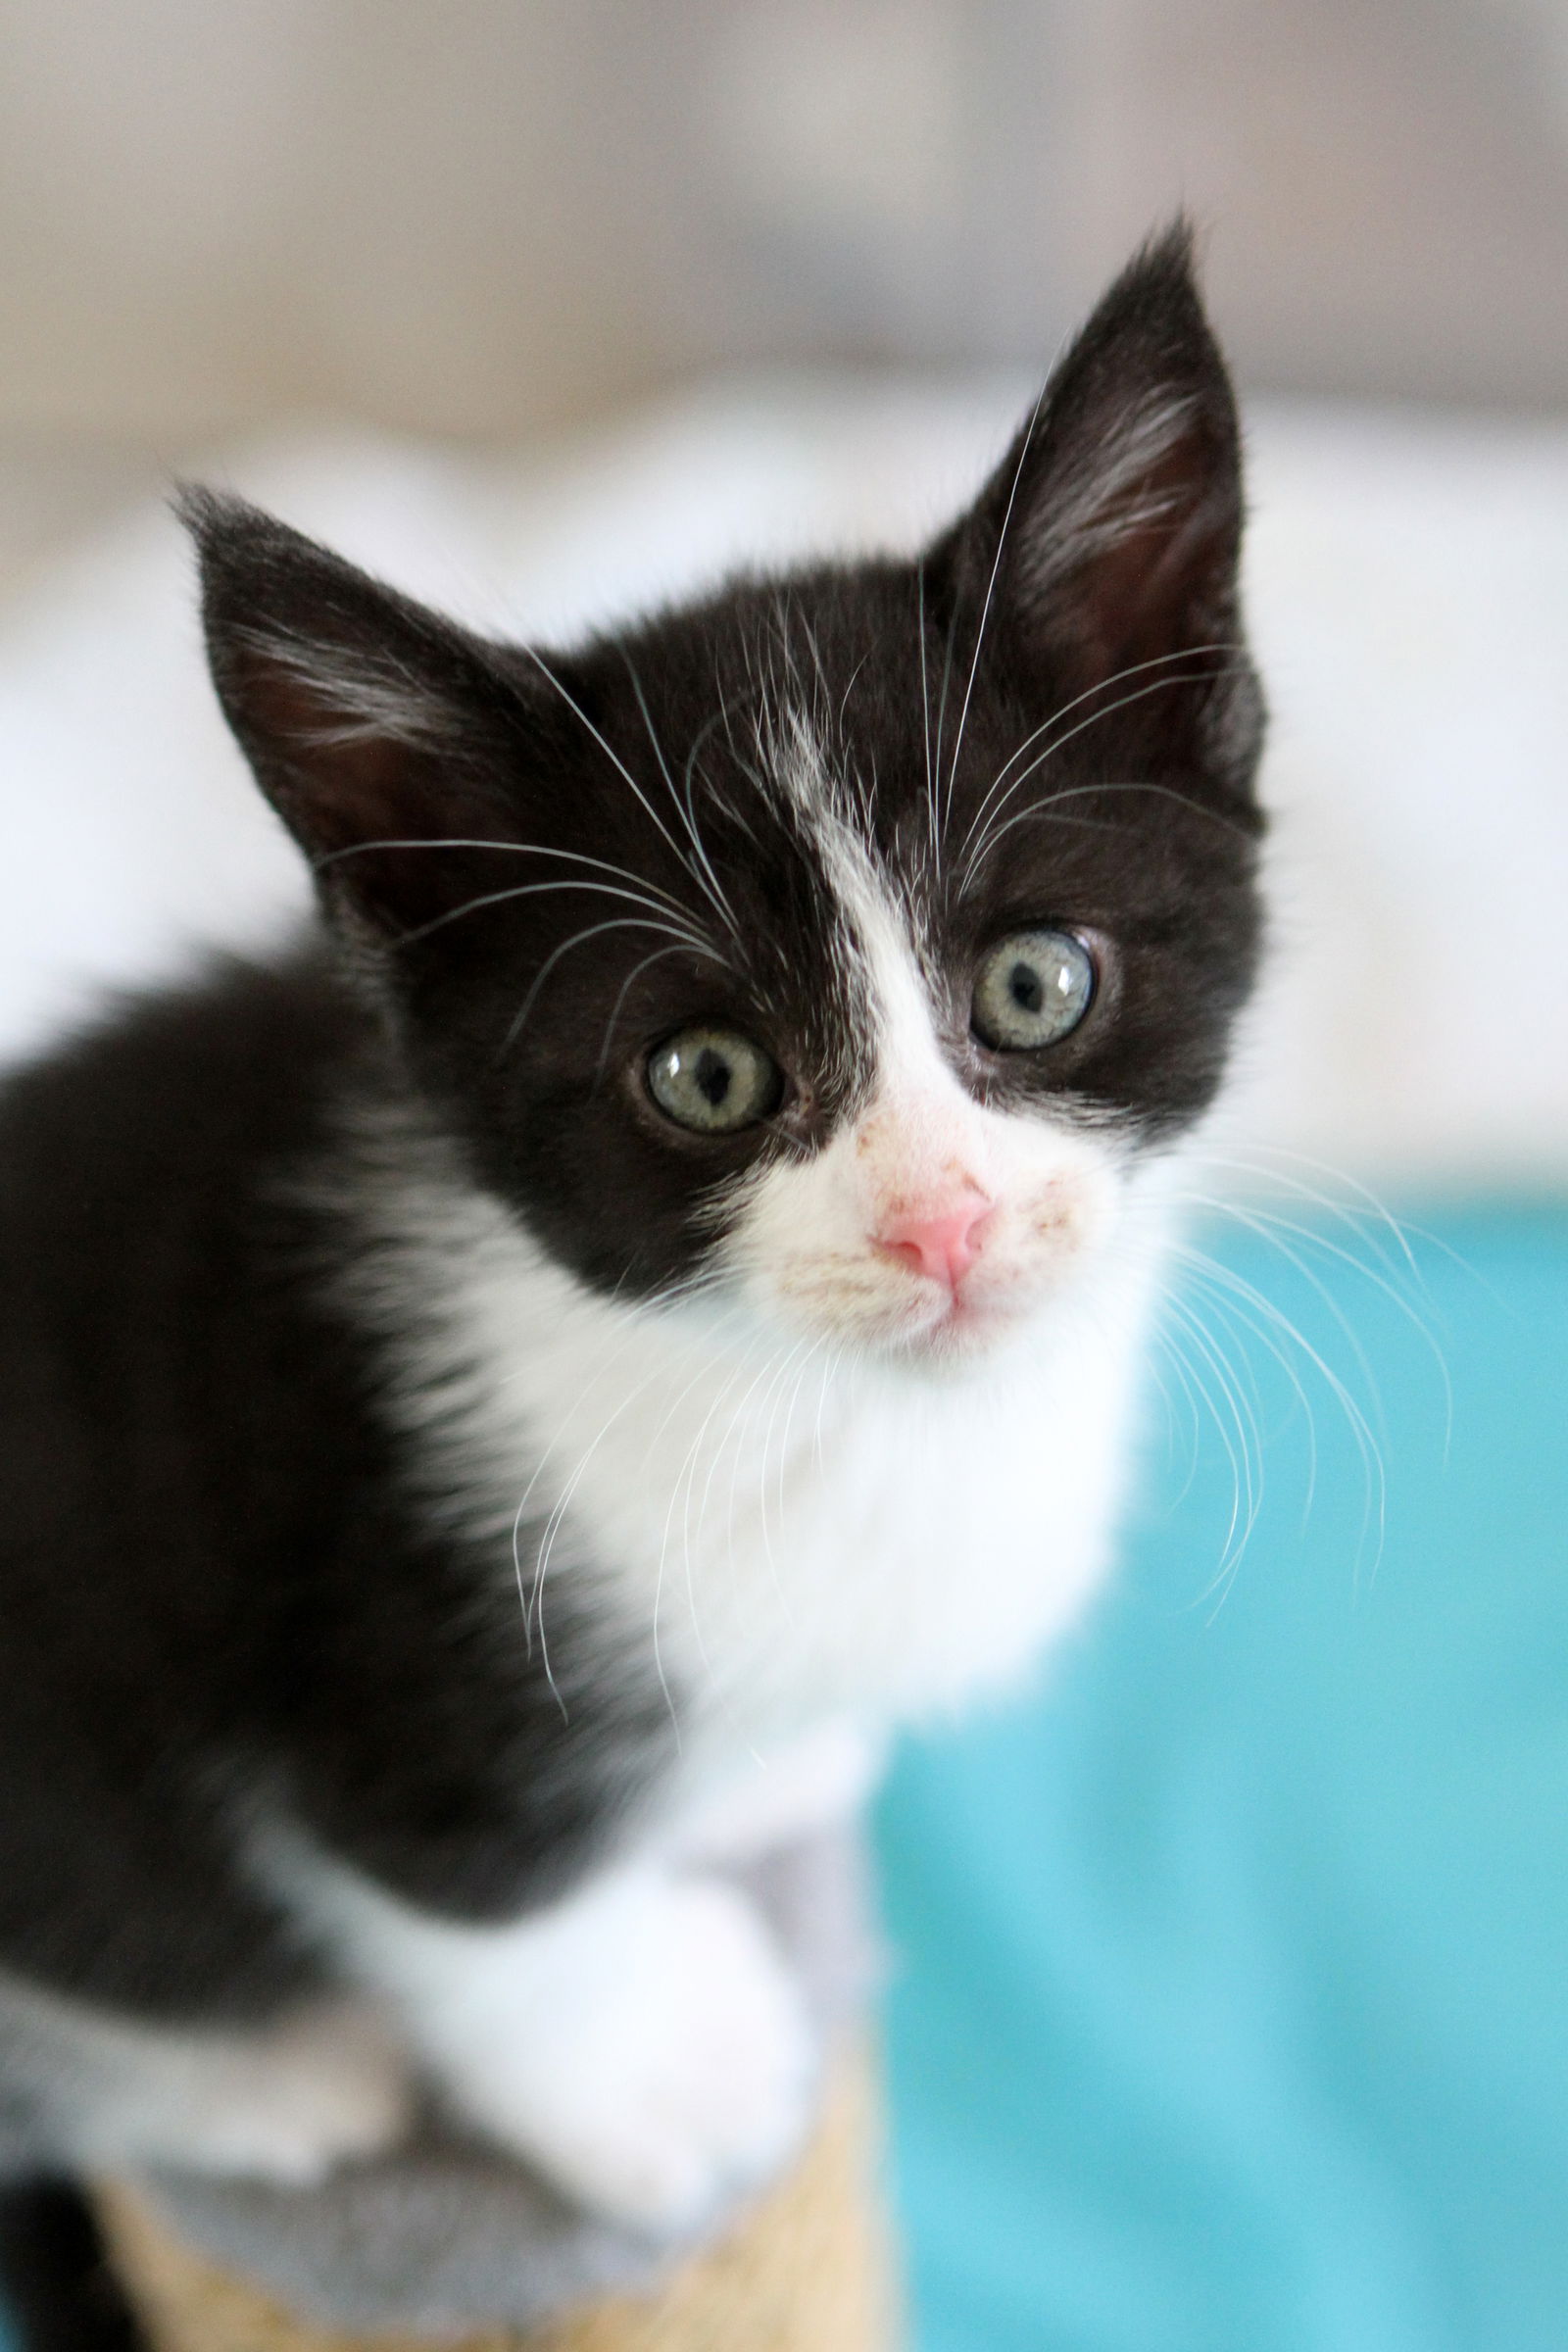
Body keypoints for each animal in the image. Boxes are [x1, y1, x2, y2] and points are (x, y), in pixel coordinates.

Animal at [0, 224, 1259, 2295]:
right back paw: (263, 2085)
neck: (821, 1410)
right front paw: (665, 2076)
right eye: (708, 1075)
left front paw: (768, 1774)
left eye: (1035, 983)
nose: (942, 1218)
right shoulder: (389, 1652)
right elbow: (480, 1901)